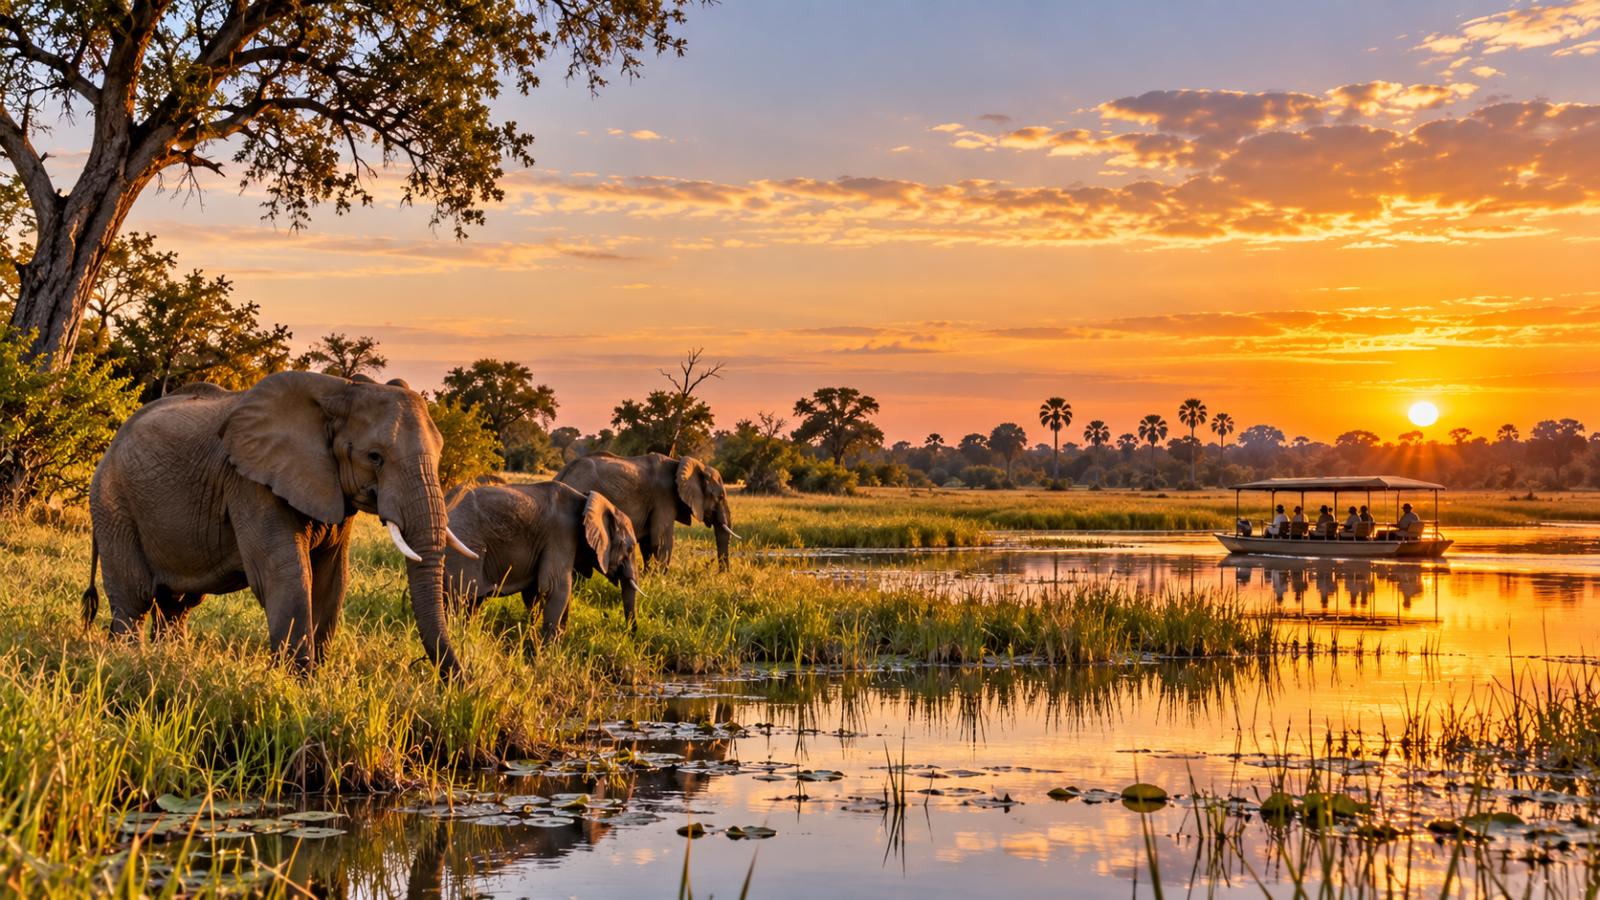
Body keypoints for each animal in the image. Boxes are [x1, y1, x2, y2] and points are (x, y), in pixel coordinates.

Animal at [82, 371, 477, 676]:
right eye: (374, 457)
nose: (461, 683)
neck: (340, 389)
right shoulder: (248, 482)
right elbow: (284, 570)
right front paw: (296, 681)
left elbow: (332, 576)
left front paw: (315, 677)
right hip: (112, 502)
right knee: (135, 596)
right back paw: (128, 662)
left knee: (177, 604)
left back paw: (171, 661)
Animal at [442, 482, 640, 637]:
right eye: (630, 548)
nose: (630, 636)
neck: (588, 500)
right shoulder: (562, 533)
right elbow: (556, 588)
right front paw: (548, 653)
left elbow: (536, 592)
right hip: (464, 548)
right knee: (462, 599)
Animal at [554, 452, 737, 570]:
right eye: (720, 497)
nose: (722, 576)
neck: (681, 463)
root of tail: (563, 473)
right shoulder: (664, 498)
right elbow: (661, 541)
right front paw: (660, 581)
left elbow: (649, 544)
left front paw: (650, 578)